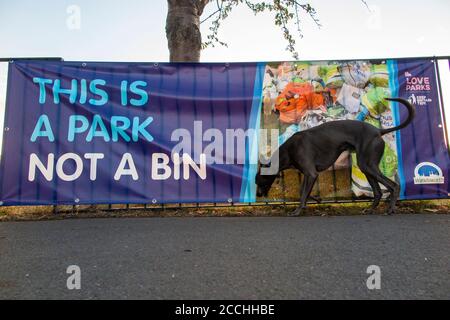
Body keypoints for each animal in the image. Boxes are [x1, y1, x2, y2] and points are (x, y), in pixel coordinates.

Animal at [256, 98, 414, 215]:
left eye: (259, 180)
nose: (257, 195)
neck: (289, 149)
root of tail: (378, 131)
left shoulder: (311, 173)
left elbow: (303, 194)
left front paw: (298, 210)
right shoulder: (308, 175)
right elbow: (303, 192)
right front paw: (314, 199)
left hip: (368, 165)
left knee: (394, 186)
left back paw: (391, 209)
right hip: (366, 167)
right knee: (378, 192)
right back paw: (370, 209)